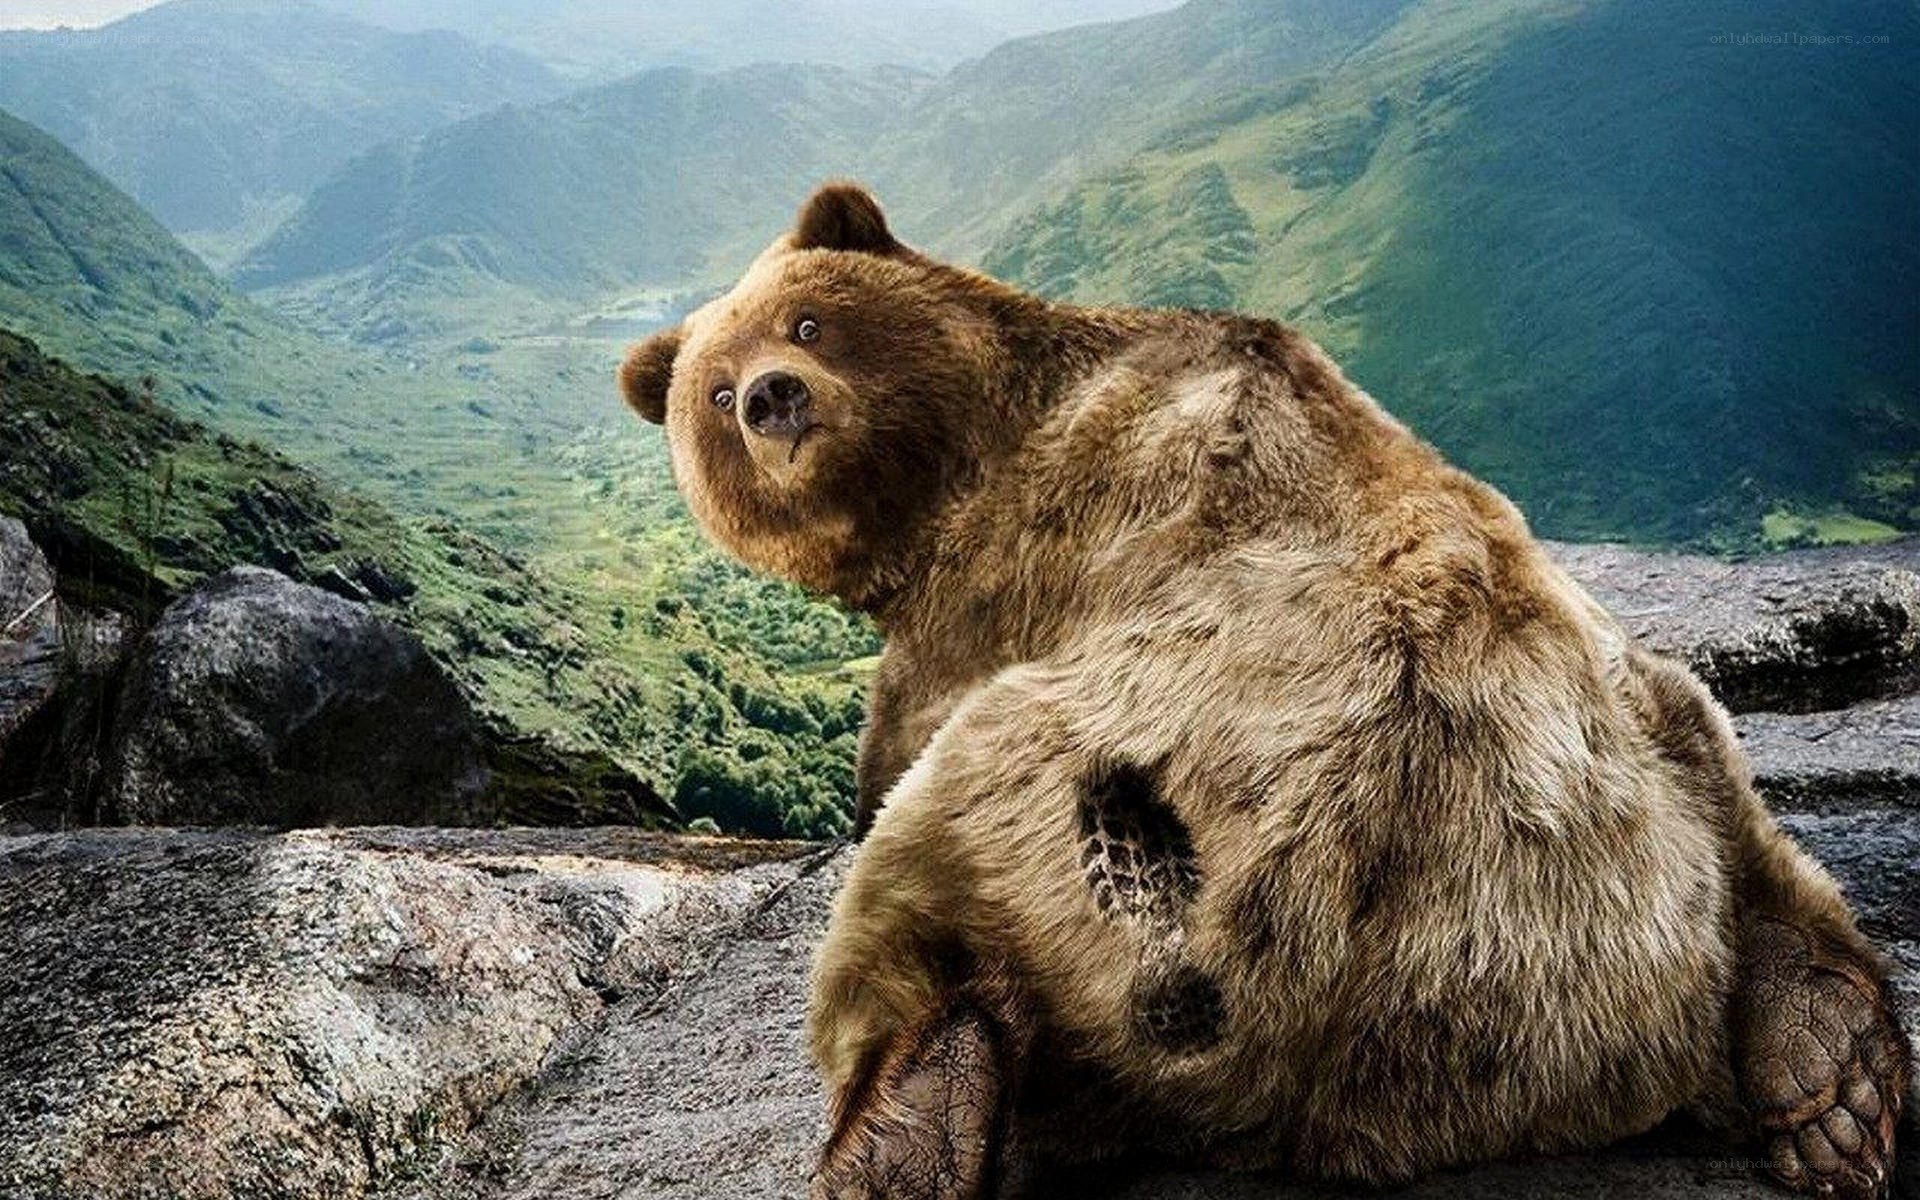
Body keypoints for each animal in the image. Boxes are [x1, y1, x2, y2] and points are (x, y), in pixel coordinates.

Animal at [619, 181, 1908, 1199]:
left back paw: (903, 1129)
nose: (775, 398)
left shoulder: (1004, 578)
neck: (964, 454)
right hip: (1619, 762)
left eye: (807, 319)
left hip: (1093, 797)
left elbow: (891, 755)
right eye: (716, 395)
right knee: (1724, 780)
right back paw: (1831, 1072)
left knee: (924, 870)